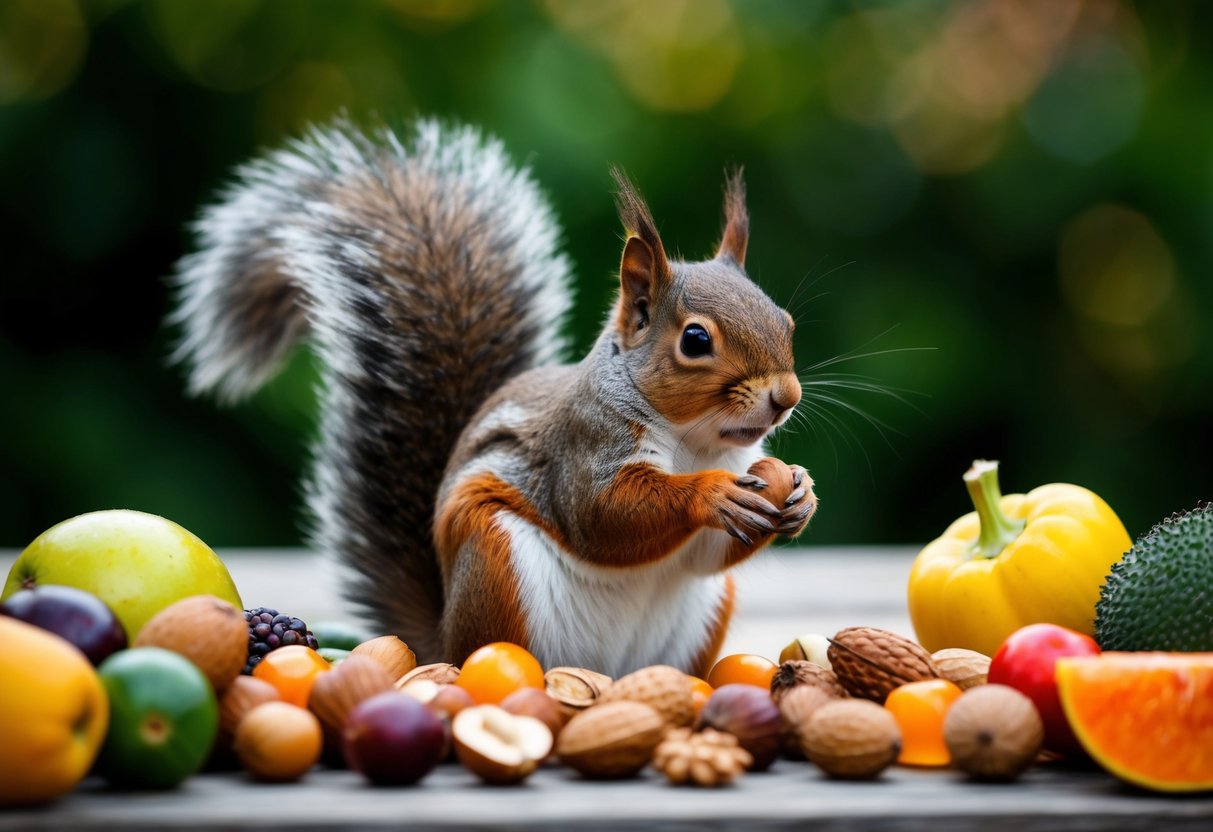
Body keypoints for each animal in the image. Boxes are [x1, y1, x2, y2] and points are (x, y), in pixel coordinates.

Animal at [170, 118, 816, 679]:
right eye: (696, 340)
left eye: (785, 322)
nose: (786, 397)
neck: (695, 441)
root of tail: (441, 639)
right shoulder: (583, 446)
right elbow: (603, 516)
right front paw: (710, 494)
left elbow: (703, 552)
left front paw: (801, 492)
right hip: (495, 560)